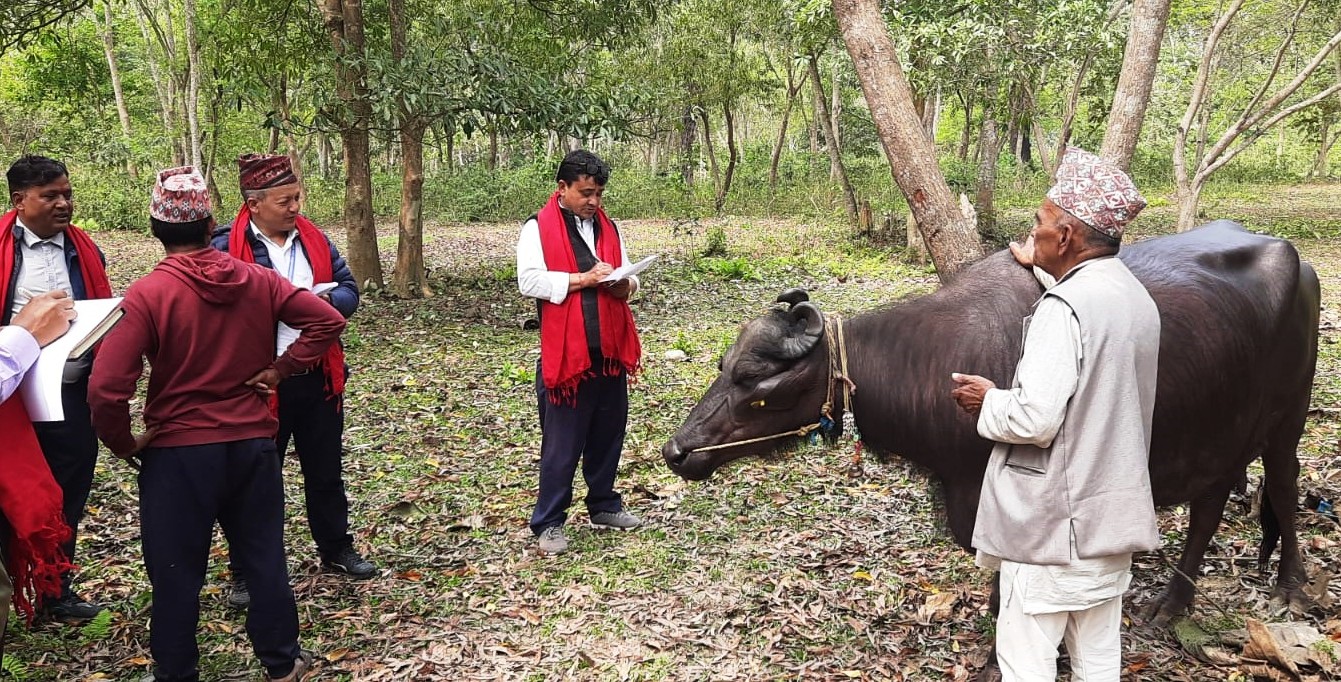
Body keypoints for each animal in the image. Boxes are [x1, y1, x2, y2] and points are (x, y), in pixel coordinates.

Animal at [659, 221, 1319, 624]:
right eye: (723, 367)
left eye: (755, 379)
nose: (677, 451)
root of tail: (1298, 261)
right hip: (1220, 435)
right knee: (1210, 506)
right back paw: (1175, 599)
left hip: (1286, 421)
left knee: (1283, 488)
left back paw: (1287, 585)